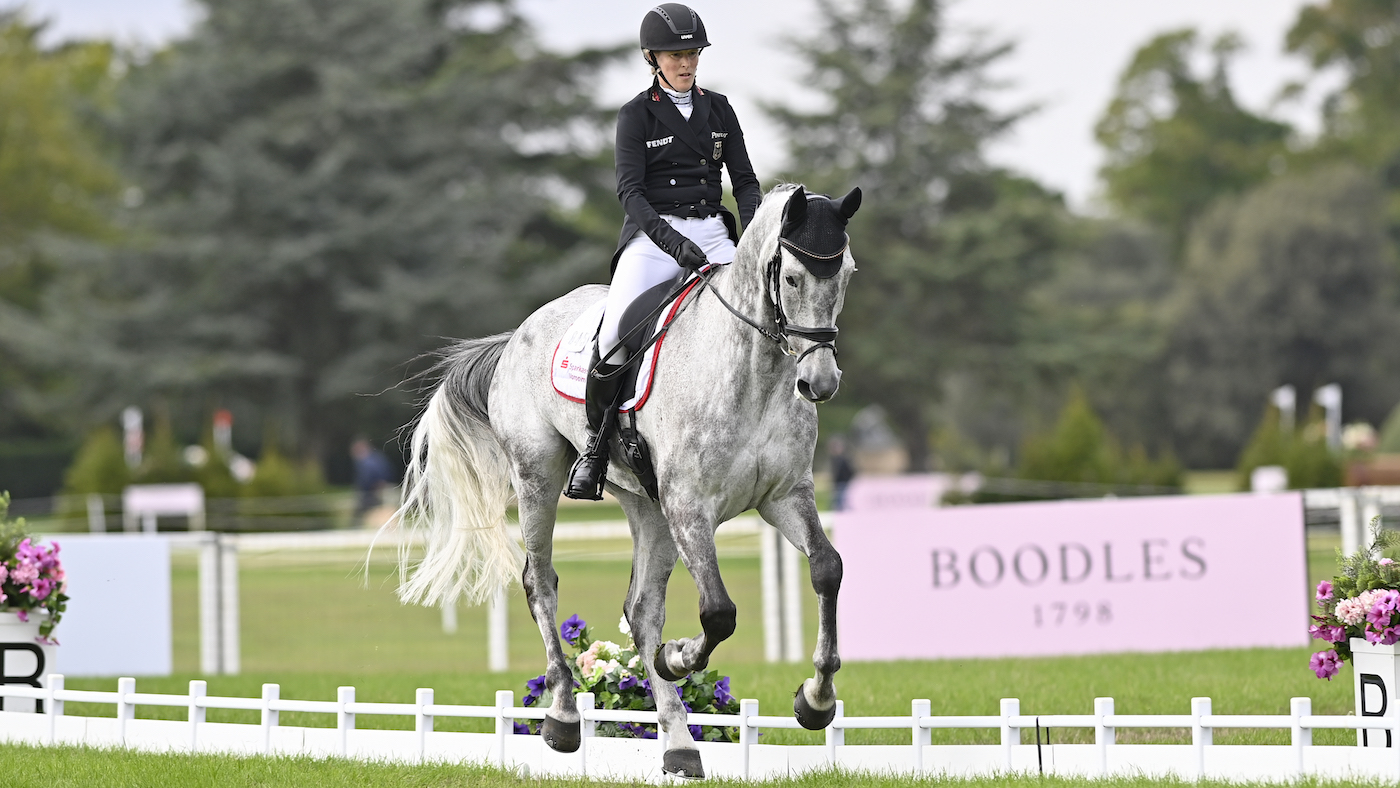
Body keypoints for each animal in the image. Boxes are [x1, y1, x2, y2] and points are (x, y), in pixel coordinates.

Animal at [388, 182, 861, 779]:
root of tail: (520, 331)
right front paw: (679, 657)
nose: (819, 382)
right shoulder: (690, 507)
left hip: (647, 506)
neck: (755, 373)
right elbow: (719, 612)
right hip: (539, 476)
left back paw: (678, 745)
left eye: (846, 274)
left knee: (641, 609)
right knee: (541, 583)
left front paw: (815, 701)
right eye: (793, 278)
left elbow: (827, 568)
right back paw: (564, 718)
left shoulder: (784, 496)